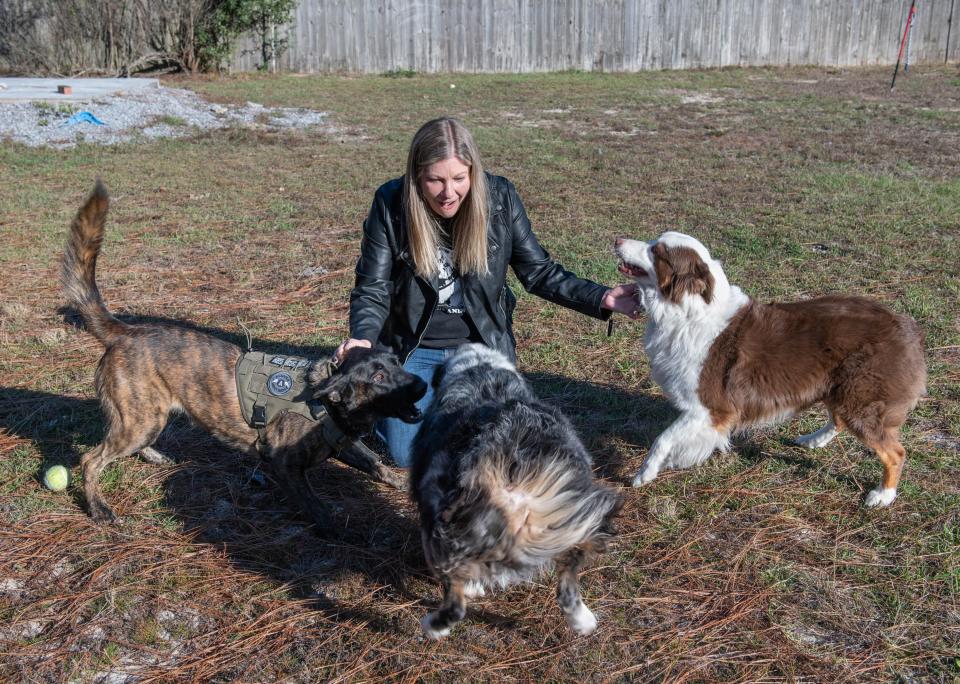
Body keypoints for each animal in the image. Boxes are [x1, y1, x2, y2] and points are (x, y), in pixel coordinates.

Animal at [58, 182, 422, 524]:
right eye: (377, 375)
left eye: (396, 363)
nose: (421, 384)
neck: (325, 401)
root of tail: (126, 331)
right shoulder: (285, 465)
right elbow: (314, 505)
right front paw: (333, 527)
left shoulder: (347, 446)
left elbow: (375, 463)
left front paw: (402, 483)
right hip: (139, 422)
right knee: (90, 460)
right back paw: (98, 508)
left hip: (148, 419)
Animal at [620, 232, 928, 504]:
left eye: (657, 251)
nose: (617, 240)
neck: (687, 311)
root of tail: (905, 326)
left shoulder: (710, 409)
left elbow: (663, 439)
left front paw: (645, 473)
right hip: (840, 388)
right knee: (839, 419)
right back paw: (813, 440)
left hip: (859, 398)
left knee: (895, 452)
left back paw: (883, 495)